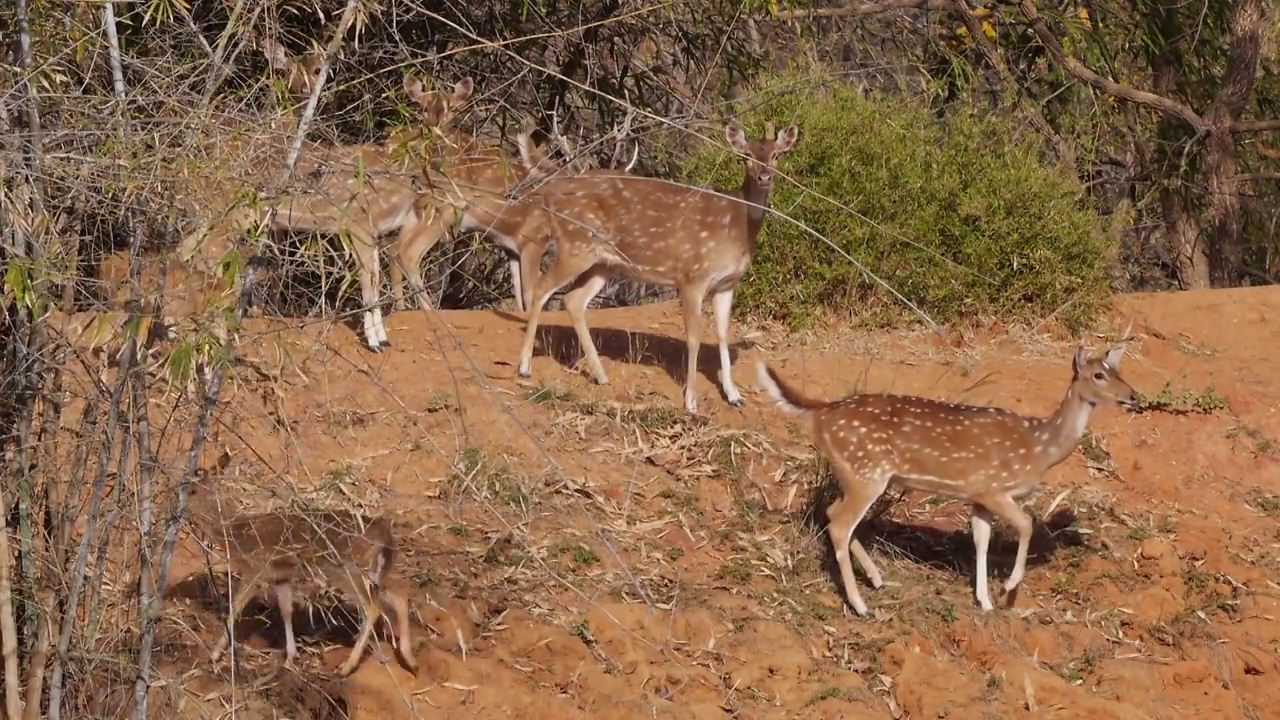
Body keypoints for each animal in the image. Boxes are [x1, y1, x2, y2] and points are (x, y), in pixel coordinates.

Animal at [202, 504, 417, 671]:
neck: (233, 535)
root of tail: (386, 539)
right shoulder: (281, 578)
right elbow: (286, 610)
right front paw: (290, 658)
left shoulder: (255, 570)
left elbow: (235, 606)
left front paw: (214, 654)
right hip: (374, 573)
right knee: (398, 593)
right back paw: (409, 659)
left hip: (348, 572)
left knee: (373, 606)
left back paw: (347, 667)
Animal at [512, 121, 798, 415]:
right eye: (746, 156)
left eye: (776, 154)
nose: (765, 177)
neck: (736, 227)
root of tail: (554, 188)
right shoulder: (692, 275)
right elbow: (693, 337)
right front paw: (691, 401)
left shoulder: (726, 284)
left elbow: (722, 335)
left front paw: (734, 395)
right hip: (574, 244)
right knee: (542, 288)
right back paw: (524, 367)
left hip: (604, 262)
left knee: (573, 299)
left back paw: (601, 375)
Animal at [747, 325, 1141, 609]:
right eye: (1098, 375)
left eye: (1118, 369)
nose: (1134, 396)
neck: (1039, 447)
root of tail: (822, 412)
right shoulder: (992, 487)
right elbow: (1026, 525)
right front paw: (1009, 586)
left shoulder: (977, 498)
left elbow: (981, 541)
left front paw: (985, 601)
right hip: (867, 472)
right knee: (841, 523)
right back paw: (861, 605)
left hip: (854, 474)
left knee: (831, 513)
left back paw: (877, 579)